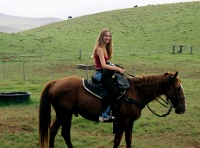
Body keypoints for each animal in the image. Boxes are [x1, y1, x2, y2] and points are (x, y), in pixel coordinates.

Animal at [38, 71, 186, 147]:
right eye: (178, 88)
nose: (183, 109)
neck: (134, 92)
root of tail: (55, 82)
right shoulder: (122, 120)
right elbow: (117, 140)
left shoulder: (130, 121)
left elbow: (128, 139)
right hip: (63, 114)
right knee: (56, 131)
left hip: (66, 115)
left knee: (62, 133)